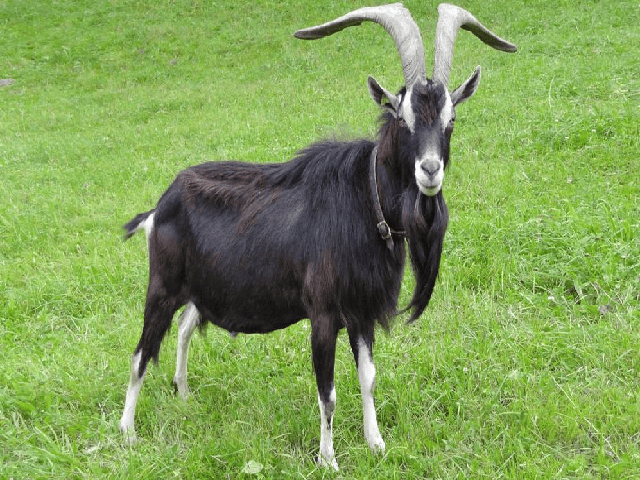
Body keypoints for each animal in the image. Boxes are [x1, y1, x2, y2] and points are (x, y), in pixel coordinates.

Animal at [119, 3, 516, 470]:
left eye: (452, 120)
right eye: (403, 118)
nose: (430, 170)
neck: (366, 202)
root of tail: (161, 205)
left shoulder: (361, 312)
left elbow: (368, 378)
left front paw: (376, 443)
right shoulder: (324, 314)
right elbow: (327, 393)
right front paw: (328, 459)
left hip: (199, 289)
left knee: (182, 328)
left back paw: (182, 395)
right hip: (162, 285)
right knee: (141, 352)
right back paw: (126, 432)